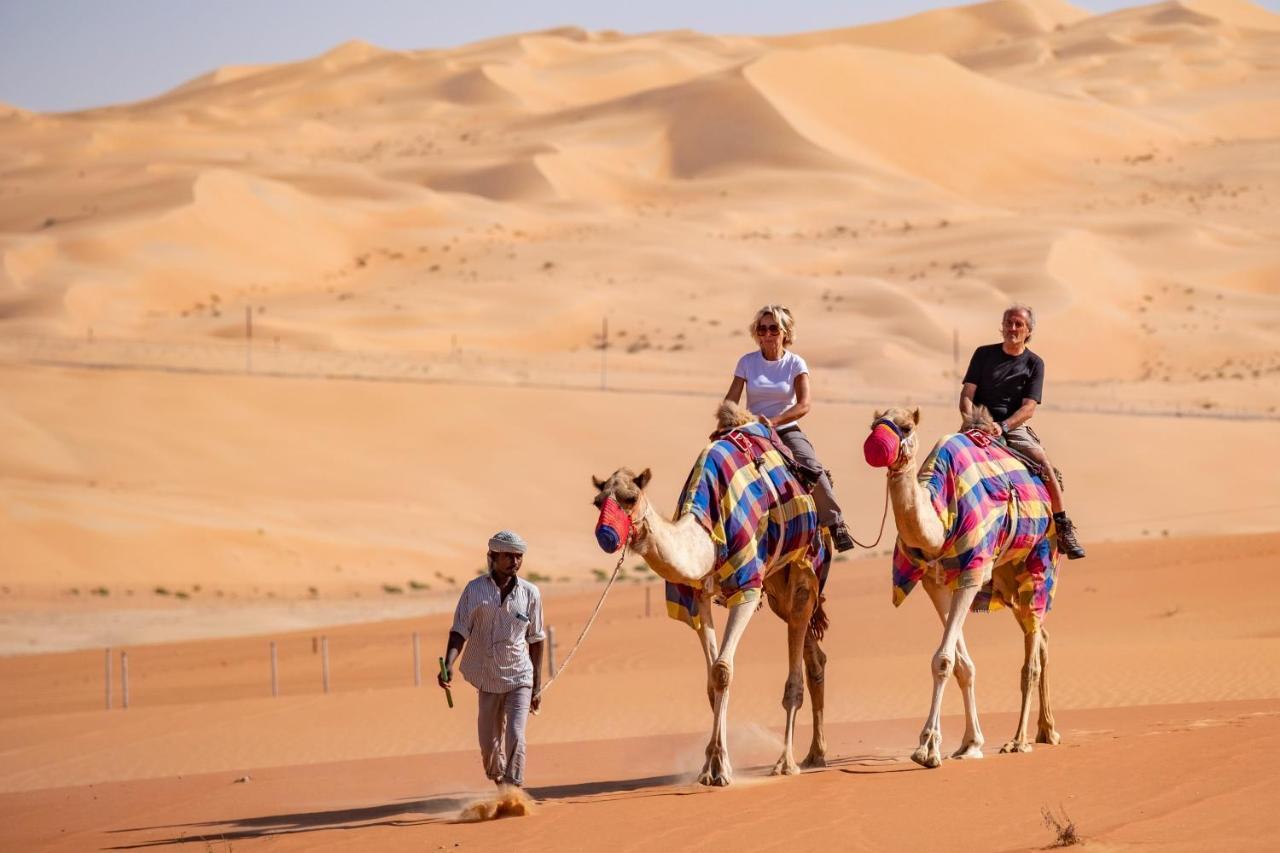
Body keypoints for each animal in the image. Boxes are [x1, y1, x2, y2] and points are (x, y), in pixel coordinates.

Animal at [588, 399, 829, 783]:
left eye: (630, 496)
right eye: (598, 501)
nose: (606, 535)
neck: (706, 532)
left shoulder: (747, 585)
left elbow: (723, 670)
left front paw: (719, 768)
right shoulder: (698, 595)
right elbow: (710, 679)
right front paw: (712, 764)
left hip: (804, 569)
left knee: (797, 664)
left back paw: (786, 762)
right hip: (778, 586)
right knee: (813, 655)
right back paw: (815, 755)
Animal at [865, 402, 1064, 768]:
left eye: (906, 427)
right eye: (874, 425)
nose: (875, 445)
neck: (942, 517)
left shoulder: (972, 572)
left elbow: (943, 660)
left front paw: (927, 748)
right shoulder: (935, 584)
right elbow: (960, 665)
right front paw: (970, 743)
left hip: (1040, 560)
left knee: (1031, 654)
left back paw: (1019, 740)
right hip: (1007, 579)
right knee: (1041, 636)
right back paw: (1047, 731)